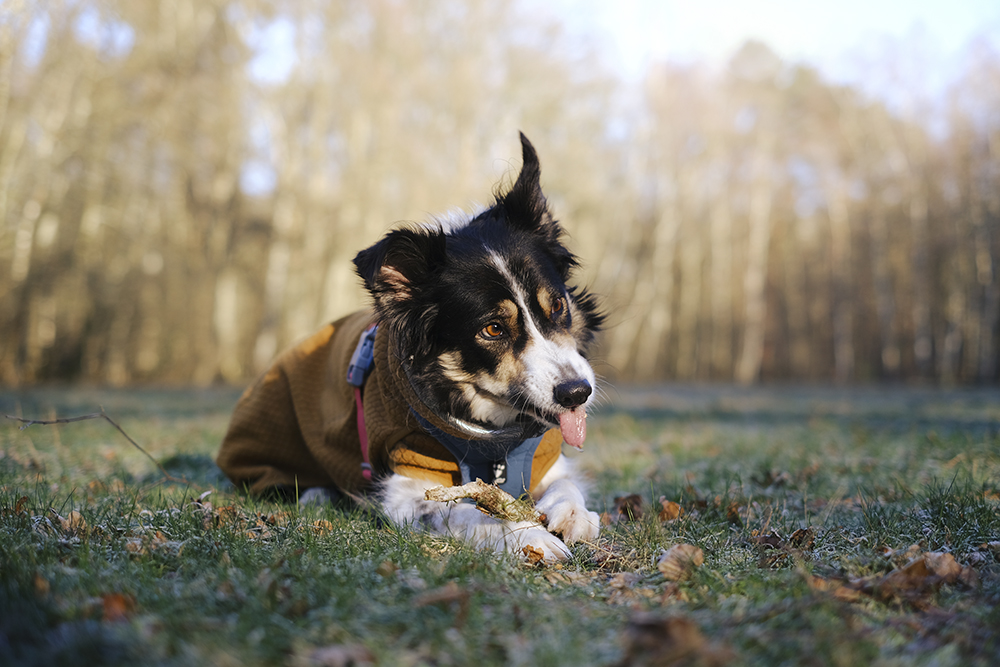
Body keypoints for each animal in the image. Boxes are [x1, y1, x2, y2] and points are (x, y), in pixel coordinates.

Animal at [218, 133, 600, 560]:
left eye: (557, 305)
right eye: (493, 329)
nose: (577, 393)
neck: (491, 434)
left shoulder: (548, 459)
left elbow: (566, 484)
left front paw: (573, 514)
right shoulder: (409, 482)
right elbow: (468, 511)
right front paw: (526, 535)